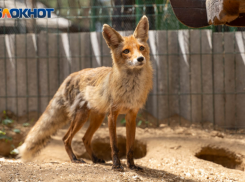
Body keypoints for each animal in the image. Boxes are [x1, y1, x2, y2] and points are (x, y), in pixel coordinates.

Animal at [18, 15, 153, 171]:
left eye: (141, 48)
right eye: (126, 51)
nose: (140, 59)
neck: (130, 89)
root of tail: (72, 75)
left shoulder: (131, 116)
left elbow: (130, 147)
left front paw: (132, 165)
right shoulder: (112, 115)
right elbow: (114, 145)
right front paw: (116, 165)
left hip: (97, 117)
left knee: (85, 138)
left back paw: (94, 159)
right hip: (81, 117)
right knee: (66, 138)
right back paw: (74, 159)